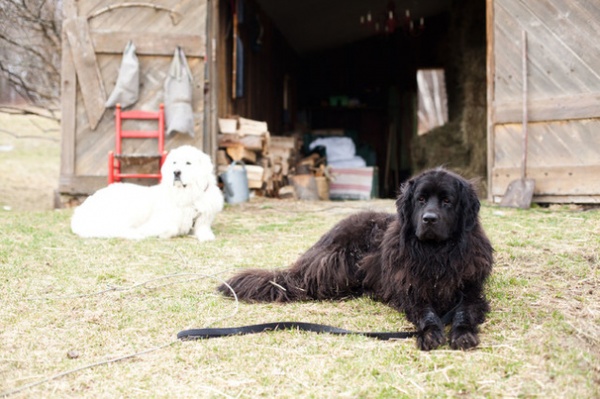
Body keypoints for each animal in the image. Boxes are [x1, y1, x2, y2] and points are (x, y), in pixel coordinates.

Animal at [71, 146, 224, 242]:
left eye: (188, 163)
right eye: (174, 162)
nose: (176, 172)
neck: (188, 195)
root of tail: (79, 212)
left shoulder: (202, 220)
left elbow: (204, 230)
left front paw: (206, 237)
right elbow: (171, 227)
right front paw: (156, 233)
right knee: (118, 229)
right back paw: (135, 234)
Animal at [219, 168, 492, 350]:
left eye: (447, 201)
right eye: (421, 199)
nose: (429, 219)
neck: (435, 254)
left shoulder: (470, 292)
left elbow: (464, 313)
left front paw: (463, 334)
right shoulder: (410, 291)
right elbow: (426, 313)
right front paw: (429, 333)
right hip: (340, 264)